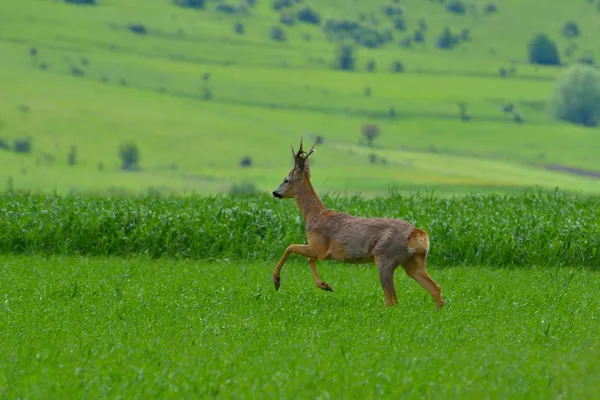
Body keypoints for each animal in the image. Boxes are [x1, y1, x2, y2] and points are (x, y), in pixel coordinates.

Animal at [272, 138, 446, 310]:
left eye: (286, 180)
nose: (275, 192)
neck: (314, 217)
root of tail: (418, 233)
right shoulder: (320, 250)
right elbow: (307, 258)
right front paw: (325, 285)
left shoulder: (318, 246)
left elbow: (291, 248)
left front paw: (276, 280)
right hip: (413, 261)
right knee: (434, 288)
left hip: (385, 256)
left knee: (391, 299)